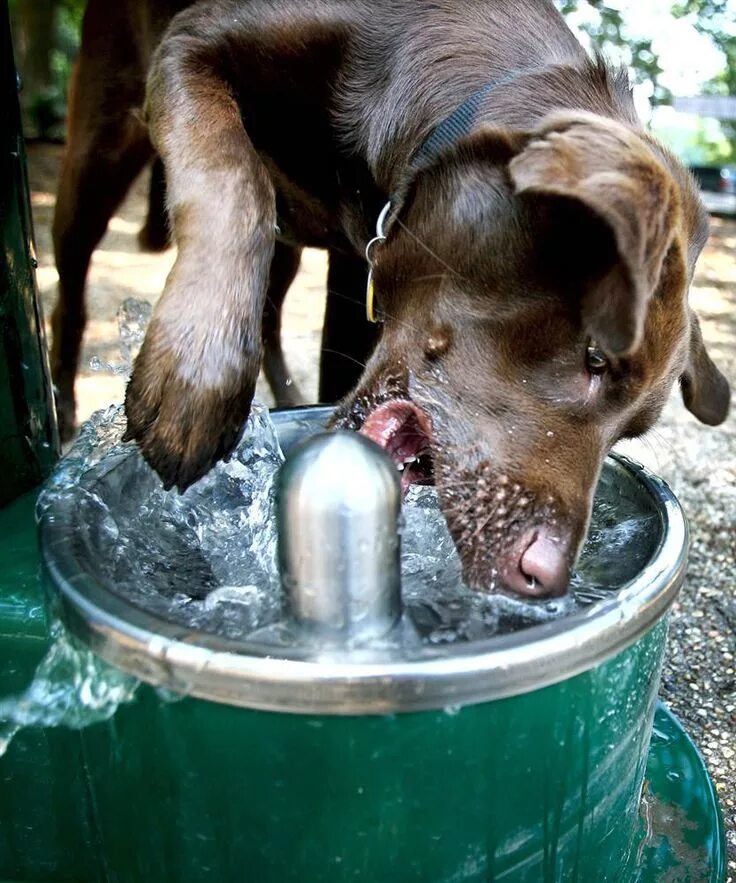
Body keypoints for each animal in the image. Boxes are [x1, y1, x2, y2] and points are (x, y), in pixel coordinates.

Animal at [93, 0, 732, 600]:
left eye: (628, 433)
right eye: (595, 357)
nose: (544, 579)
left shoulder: (356, 267)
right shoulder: (190, 40)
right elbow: (231, 173)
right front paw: (195, 377)